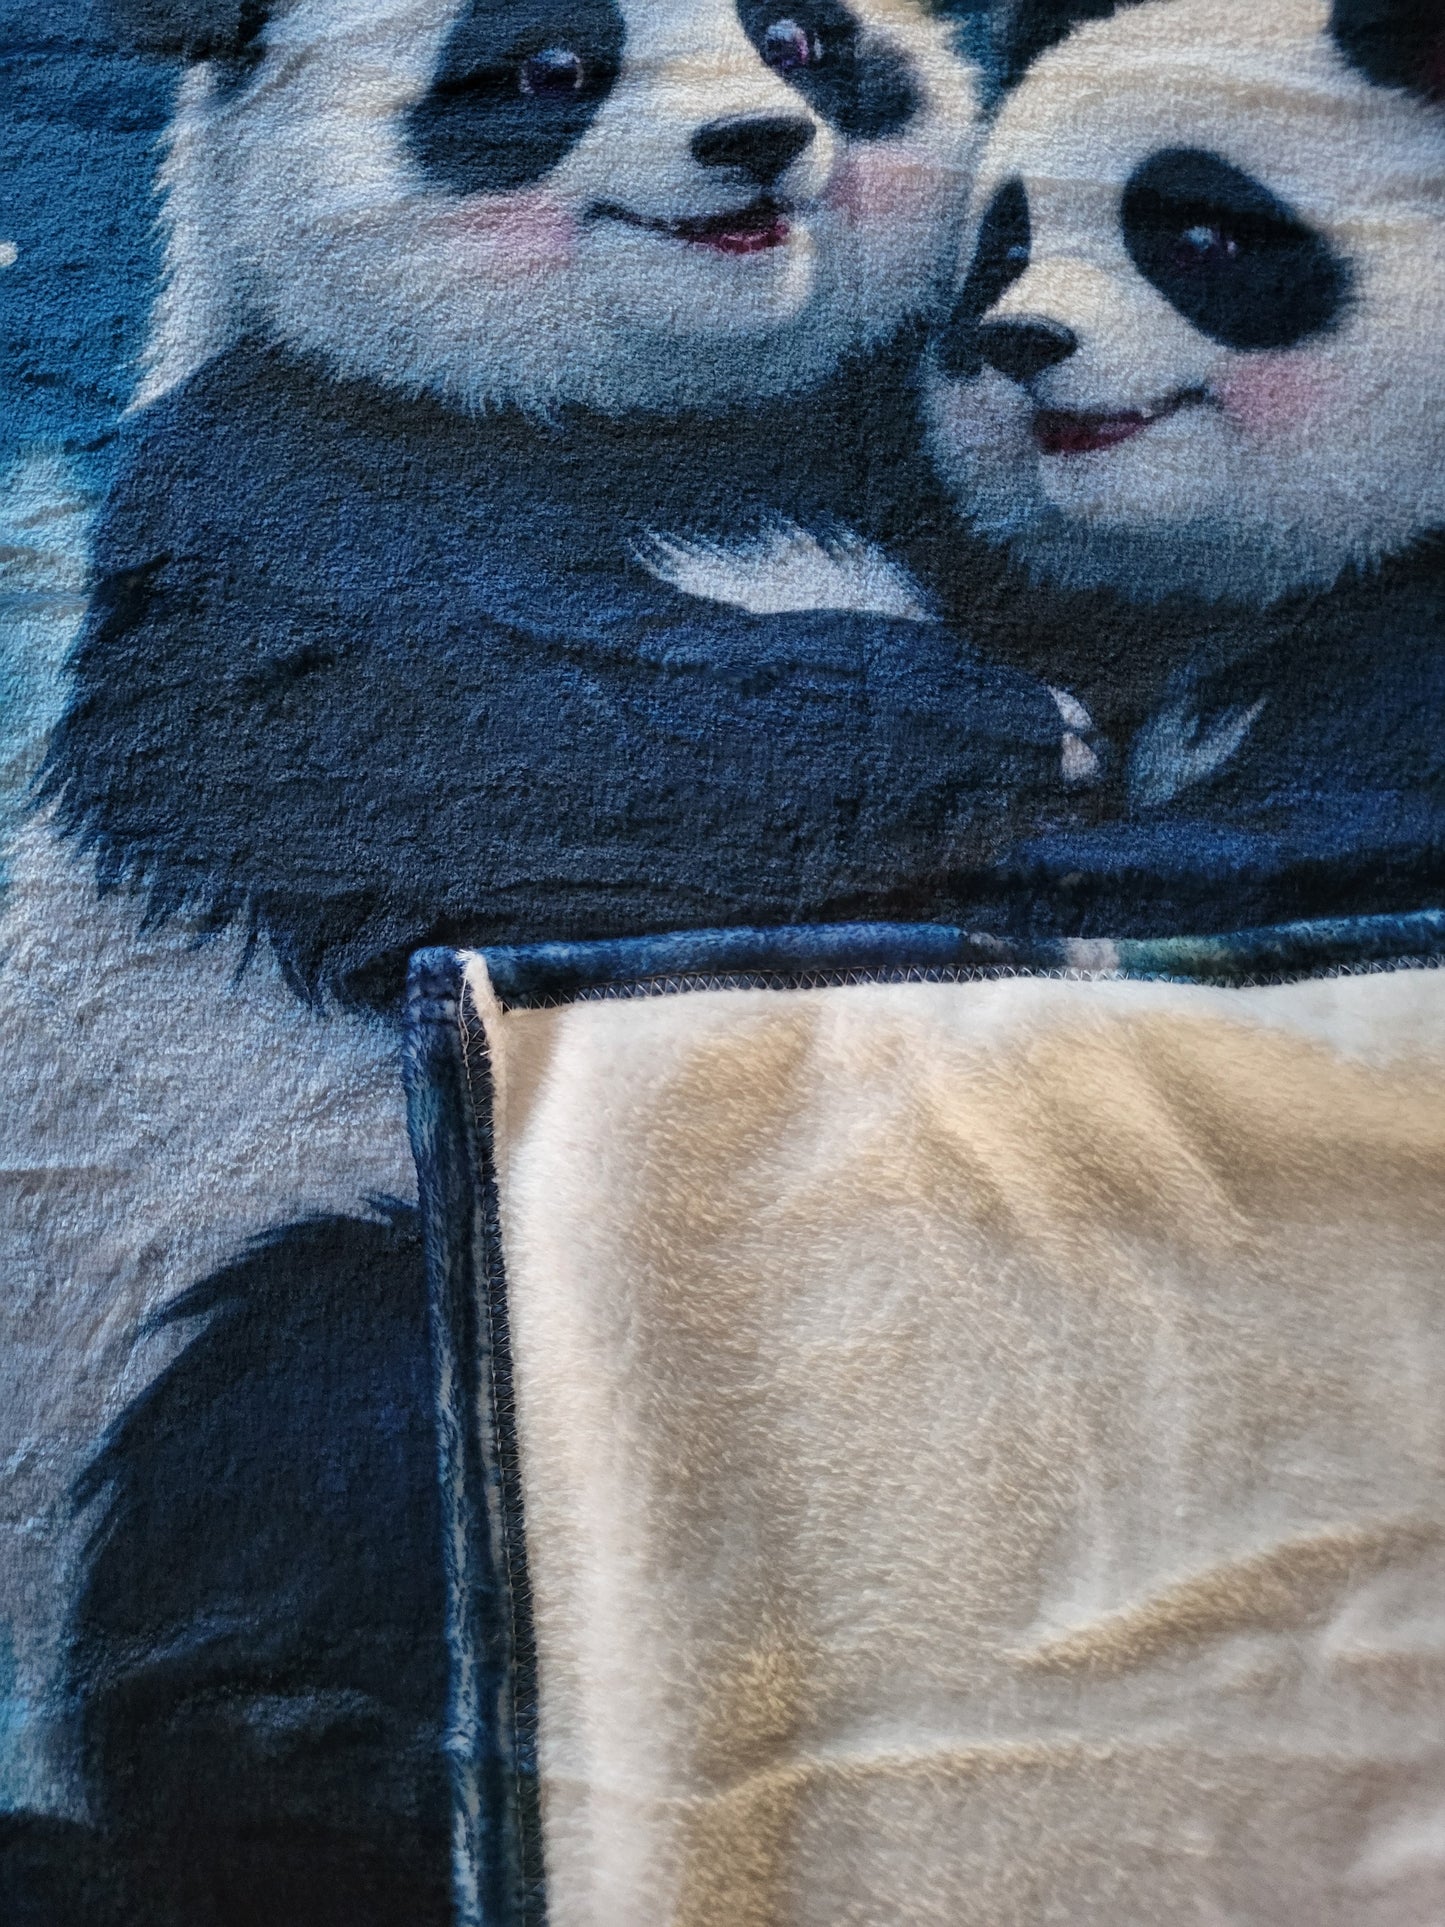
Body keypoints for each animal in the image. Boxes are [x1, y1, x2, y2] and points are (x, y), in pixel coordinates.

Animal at [7, 3, 1099, 1923]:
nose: (757, 144)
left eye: (805, 36)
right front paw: (985, 727)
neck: (646, 424)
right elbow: (415, 744)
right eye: (545, 71)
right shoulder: (296, 486)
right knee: (311, 1395)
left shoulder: (905, 447)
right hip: (195, 1328)